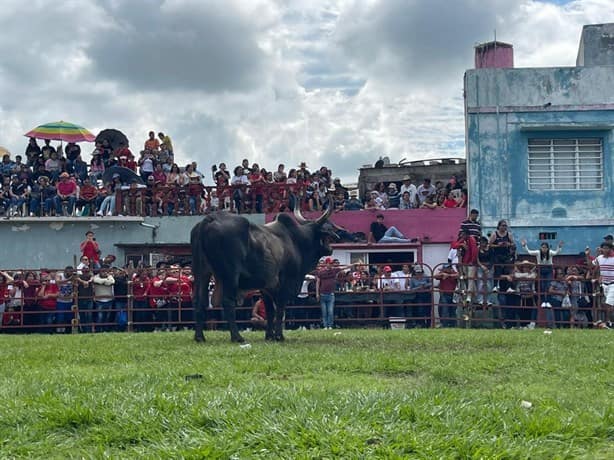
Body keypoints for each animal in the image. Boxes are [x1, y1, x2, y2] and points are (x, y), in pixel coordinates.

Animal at [192, 201, 336, 342]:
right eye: (328, 227)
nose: (338, 232)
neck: (297, 240)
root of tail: (210, 219)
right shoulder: (285, 283)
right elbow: (280, 309)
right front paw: (279, 336)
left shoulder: (266, 287)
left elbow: (270, 311)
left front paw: (269, 336)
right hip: (230, 275)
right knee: (227, 302)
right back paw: (237, 337)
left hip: (201, 272)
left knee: (200, 301)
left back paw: (200, 337)